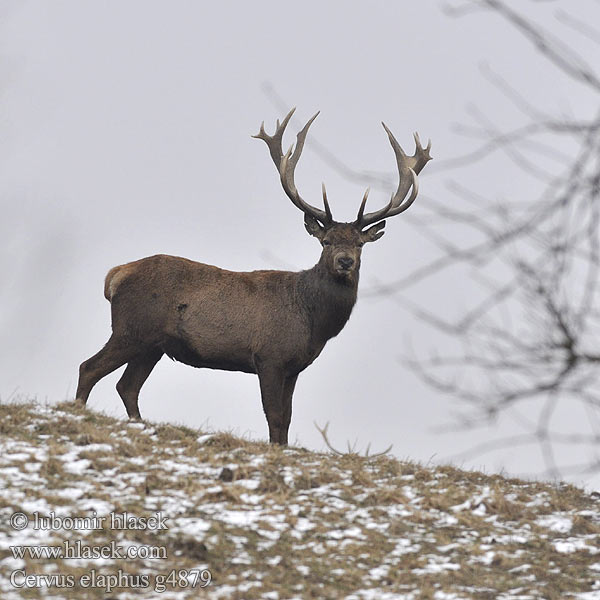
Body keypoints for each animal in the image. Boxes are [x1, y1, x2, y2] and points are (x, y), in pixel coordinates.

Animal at [76, 110, 432, 442]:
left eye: (359, 243)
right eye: (326, 241)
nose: (345, 262)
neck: (313, 321)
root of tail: (115, 275)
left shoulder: (294, 367)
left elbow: (287, 419)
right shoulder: (269, 356)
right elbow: (273, 415)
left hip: (153, 344)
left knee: (127, 386)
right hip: (131, 328)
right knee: (89, 367)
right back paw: (78, 411)